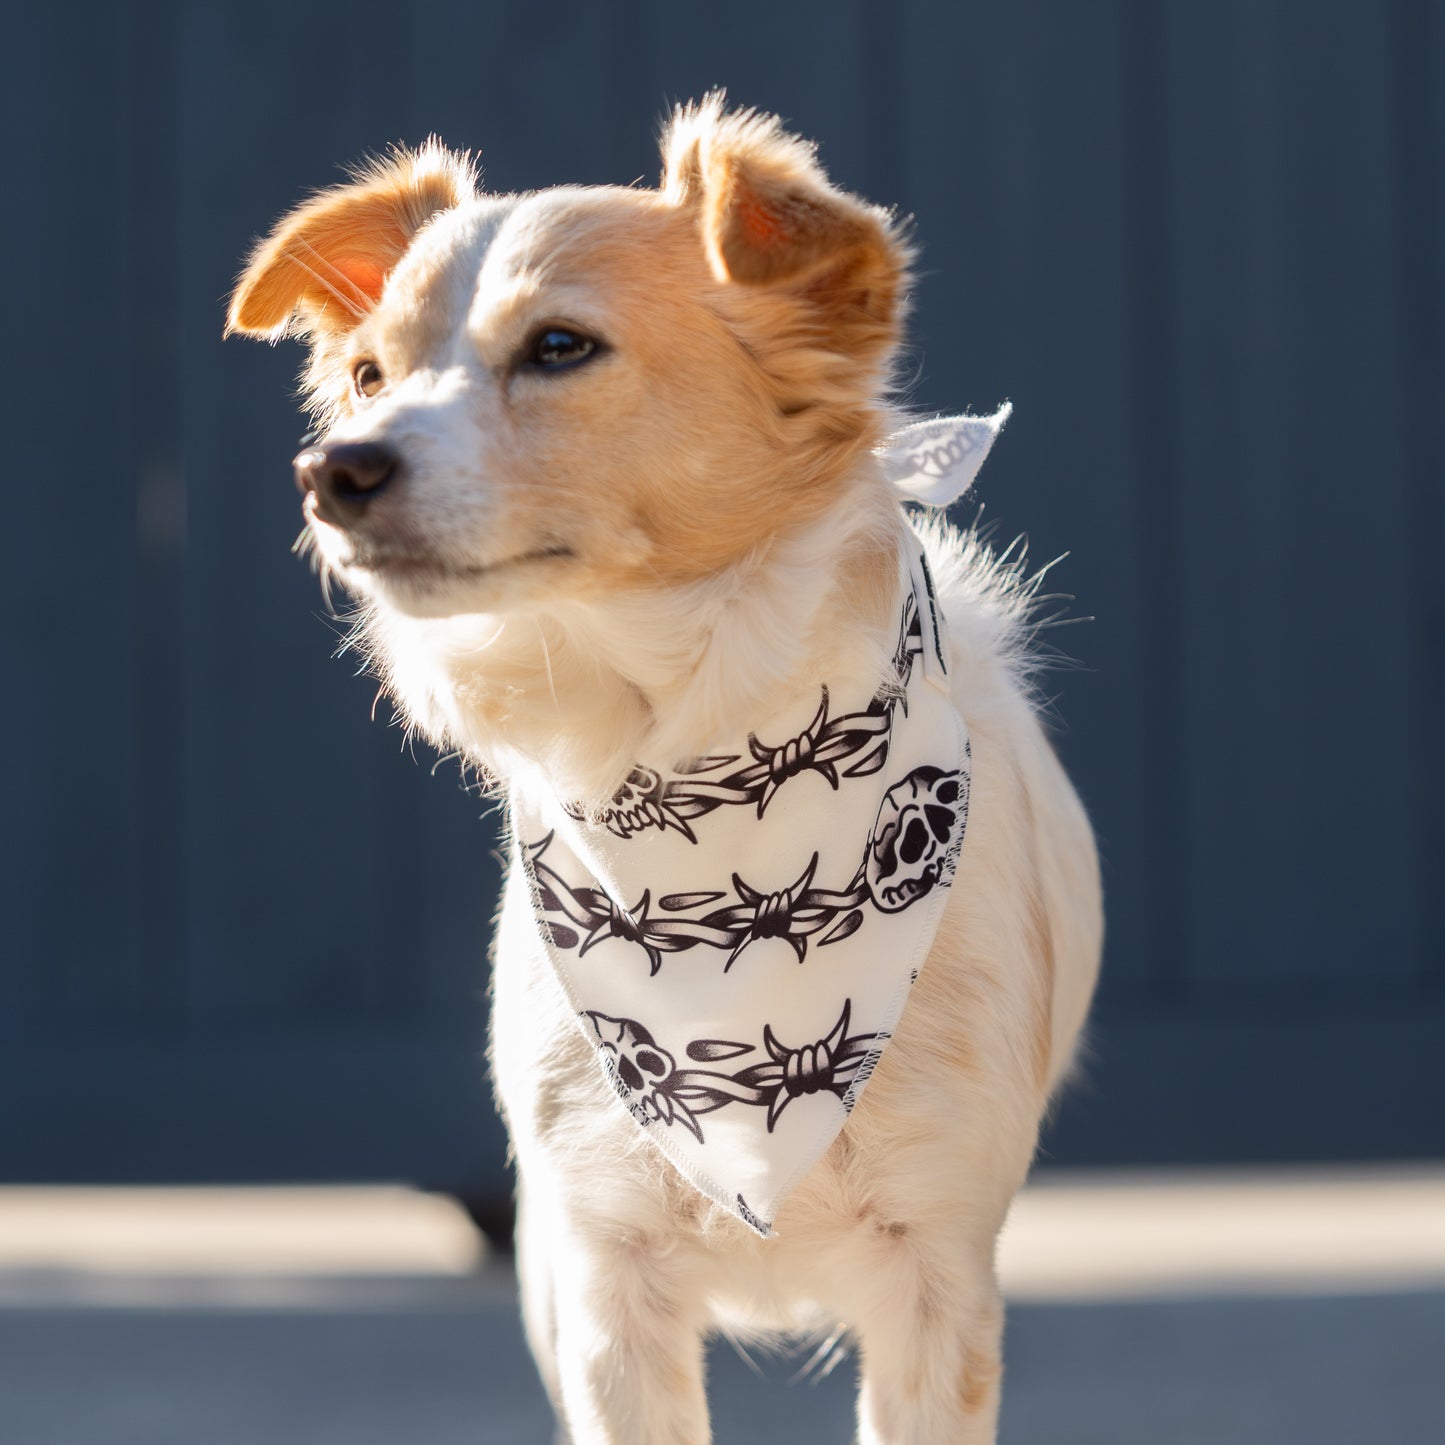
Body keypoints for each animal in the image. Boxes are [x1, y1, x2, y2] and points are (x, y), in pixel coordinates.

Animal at [228, 96, 1103, 1439]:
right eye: (369, 376)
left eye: (558, 346)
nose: (334, 471)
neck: (688, 749)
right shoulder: (600, 1282)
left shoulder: (937, 1281)